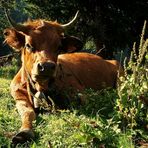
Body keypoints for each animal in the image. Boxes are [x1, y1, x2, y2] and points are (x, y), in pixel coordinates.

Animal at [3, 11, 123, 145]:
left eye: (59, 47)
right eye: (28, 45)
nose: (46, 66)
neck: (41, 88)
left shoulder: (79, 92)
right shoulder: (18, 97)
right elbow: (28, 112)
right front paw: (24, 132)